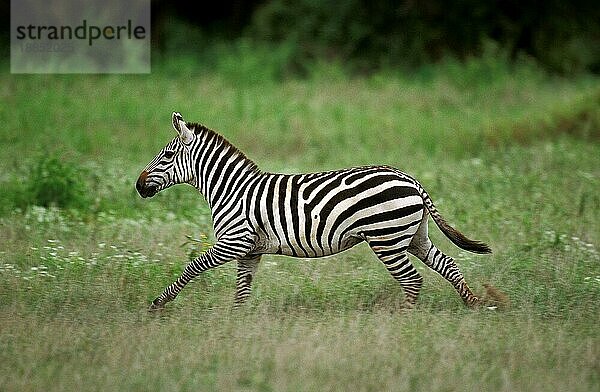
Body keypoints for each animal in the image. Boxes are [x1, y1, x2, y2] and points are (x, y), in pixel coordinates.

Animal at [137, 112, 492, 310]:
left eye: (166, 156)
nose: (139, 186)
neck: (232, 189)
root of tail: (411, 180)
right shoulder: (251, 250)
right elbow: (242, 290)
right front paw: (235, 322)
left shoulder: (235, 242)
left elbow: (192, 267)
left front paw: (158, 303)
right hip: (413, 235)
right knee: (447, 264)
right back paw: (475, 305)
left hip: (386, 239)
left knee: (413, 280)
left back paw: (404, 319)